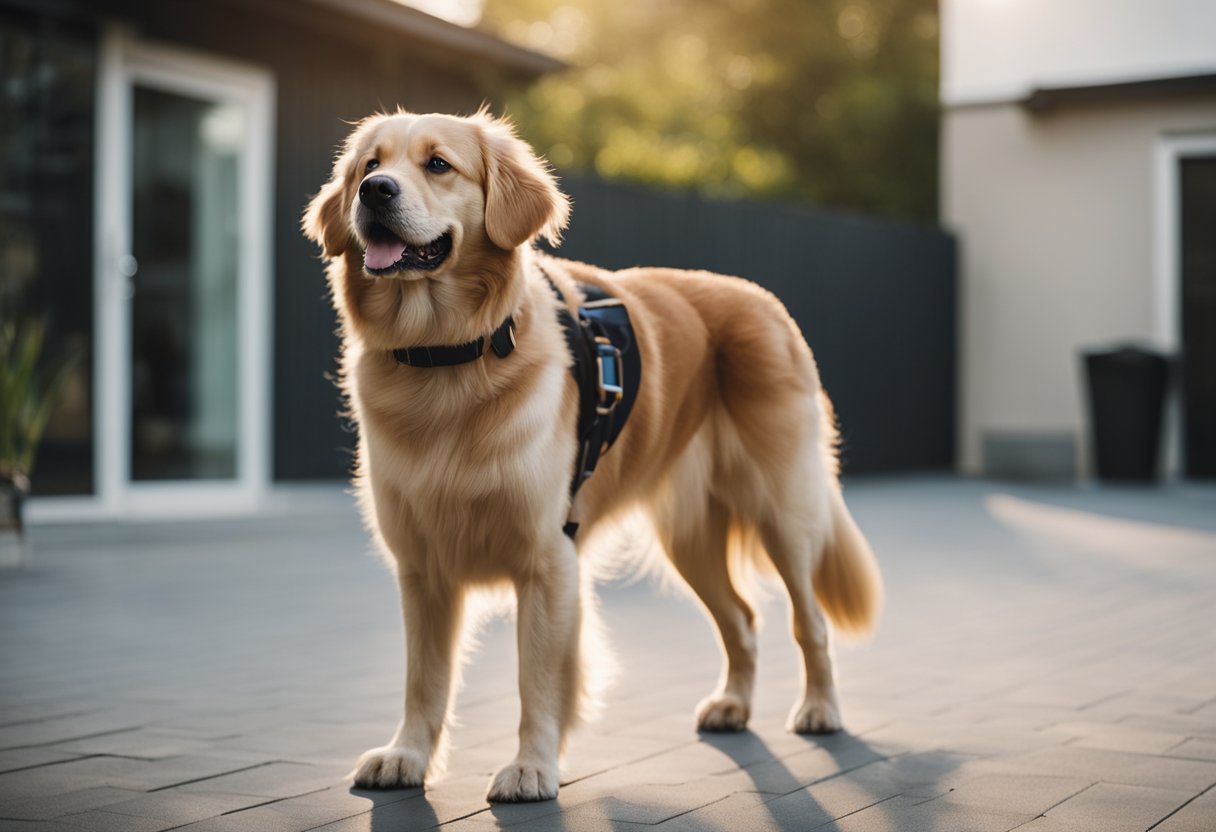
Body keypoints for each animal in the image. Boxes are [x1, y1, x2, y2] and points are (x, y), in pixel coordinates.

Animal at [300, 108, 880, 797]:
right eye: (370, 165)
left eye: (438, 164)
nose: (374, 193)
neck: (447, 360)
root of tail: (764, 300)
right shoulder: (422, 566)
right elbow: (425, 677)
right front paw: (408, 755)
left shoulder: (548, 557)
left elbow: (536, 677)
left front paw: (531, 766)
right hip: (688, 537)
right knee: (741, 619)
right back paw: (734, 703)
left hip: (782, 511)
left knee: (807, 620)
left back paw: (820, 708)